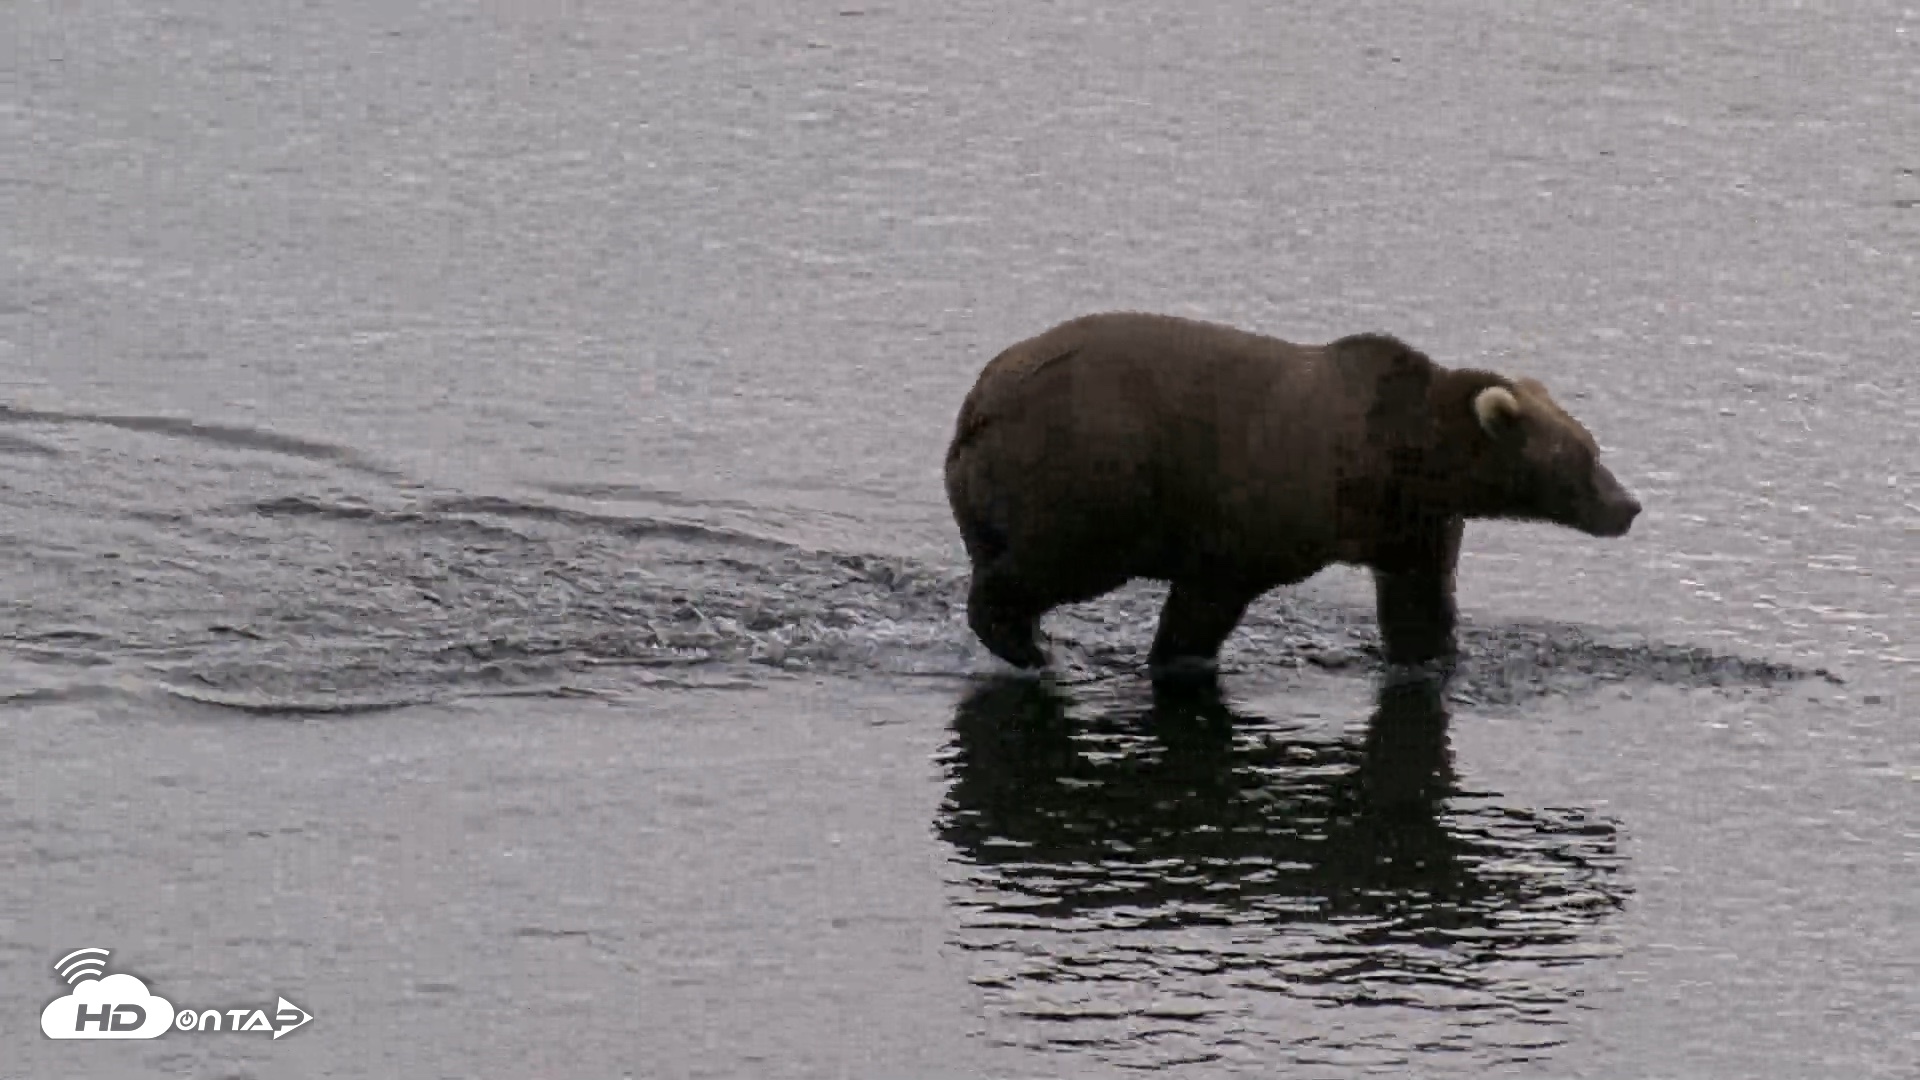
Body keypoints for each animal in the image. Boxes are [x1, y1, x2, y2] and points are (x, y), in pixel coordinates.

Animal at [943, 311, 1641, 674]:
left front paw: (1434, 655)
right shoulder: (1263, 509)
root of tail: (977, 405)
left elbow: (1419, 606)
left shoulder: (1411, 525)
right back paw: (1030, 646)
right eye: (1581, 458)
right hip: (1088, 473)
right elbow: (1207, 599)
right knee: (1050, 562)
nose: (1628, 506)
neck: (1404, 456)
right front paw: (1182, 658)